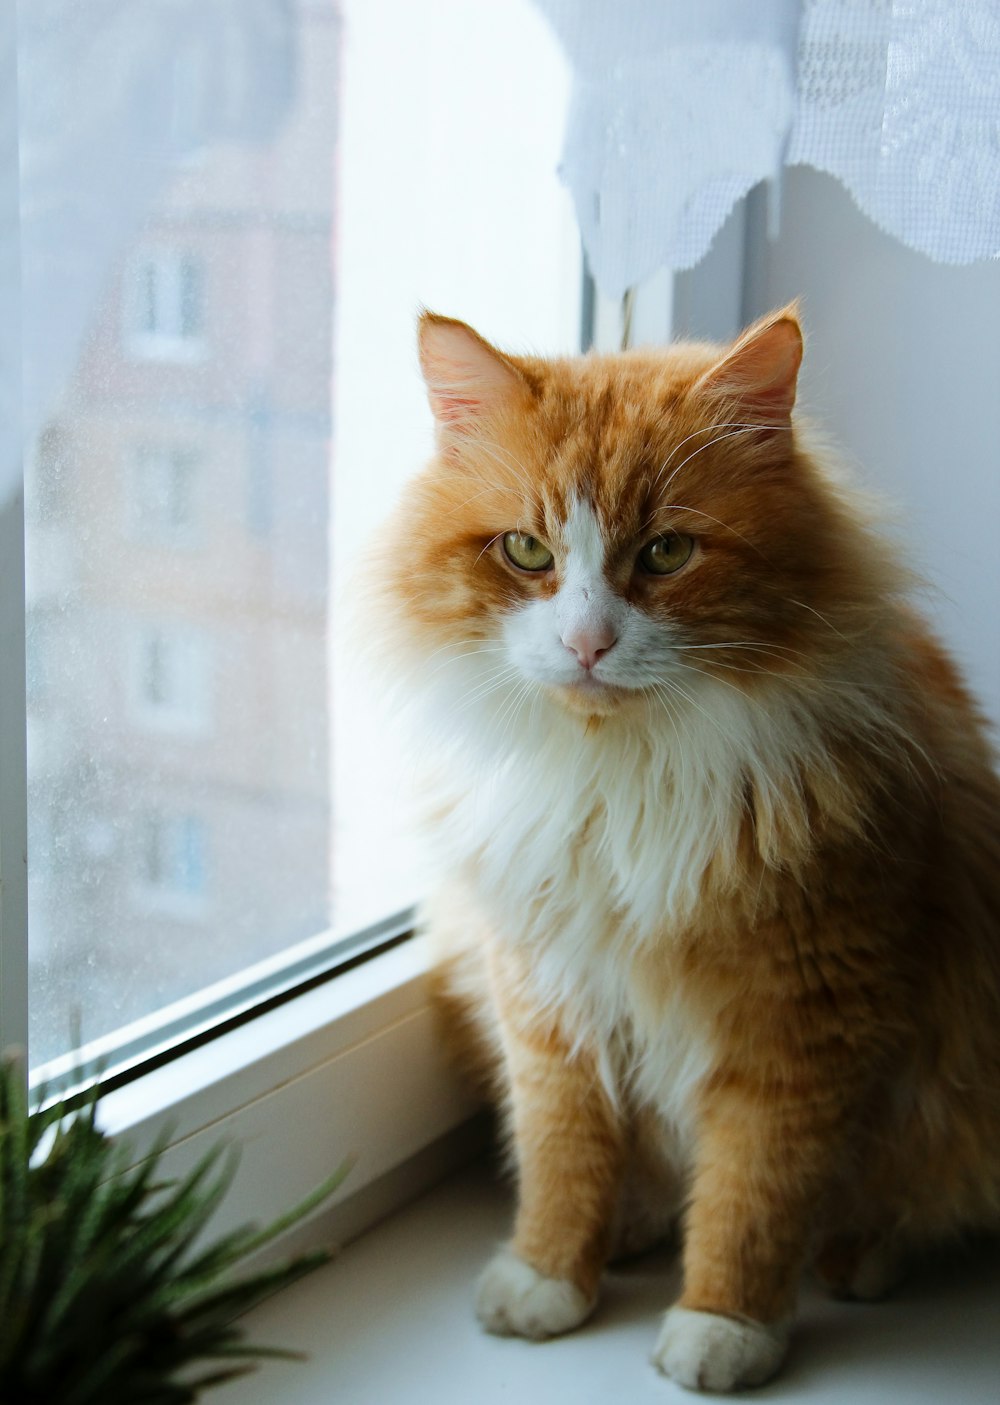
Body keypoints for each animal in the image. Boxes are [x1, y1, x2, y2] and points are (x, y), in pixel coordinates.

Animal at [362, 302, 1000, 1388]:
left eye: (664, 553)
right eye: (526, 550)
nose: (586, 644)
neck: (622, 777)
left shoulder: (803, 1016)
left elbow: (754, 1192)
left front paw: (724, 1327)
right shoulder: (544, 994)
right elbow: (561, 1152)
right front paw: (549, 1275)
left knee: (902, 1204)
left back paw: (857, 1260)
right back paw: (633, 1220)